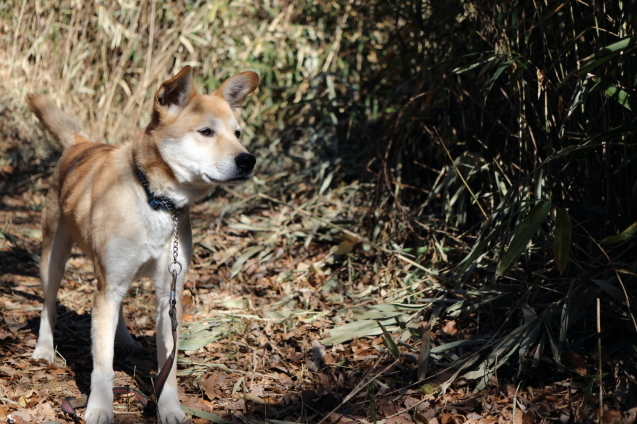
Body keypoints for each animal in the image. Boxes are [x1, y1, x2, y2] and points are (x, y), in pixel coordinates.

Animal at [29, 67, 258, 424]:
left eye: (237, 133)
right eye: (206, 131)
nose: (248, 160)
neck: (155, 199)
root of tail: (81, 143)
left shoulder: (168, 293)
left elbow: (168, 366)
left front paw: (170, 409)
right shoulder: (108, 286)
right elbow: (103, 365)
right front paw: (99, 408)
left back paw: (123, 338)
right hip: (54, 257)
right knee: (49, 304)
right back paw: (43, 348)